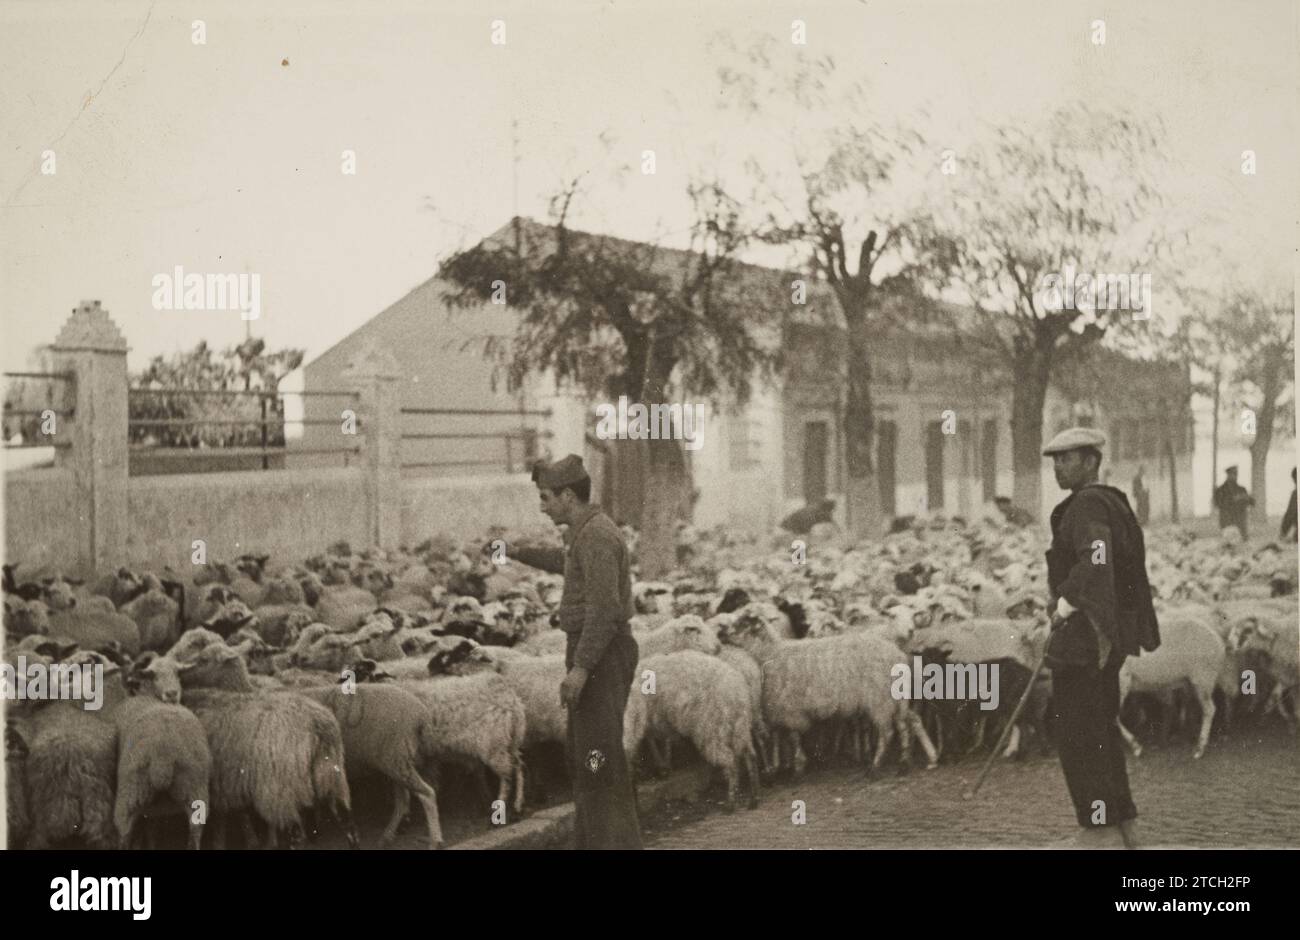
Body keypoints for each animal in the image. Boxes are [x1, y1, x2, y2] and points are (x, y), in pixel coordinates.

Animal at [639, 650, 759, 811]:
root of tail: (736, 692)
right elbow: (656, 739)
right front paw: (663, 765)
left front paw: (662, 766)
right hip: (740, 725)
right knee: (750, 755)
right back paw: (753, 799)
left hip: (712, 728)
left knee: (730, 761)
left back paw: (731, 803)